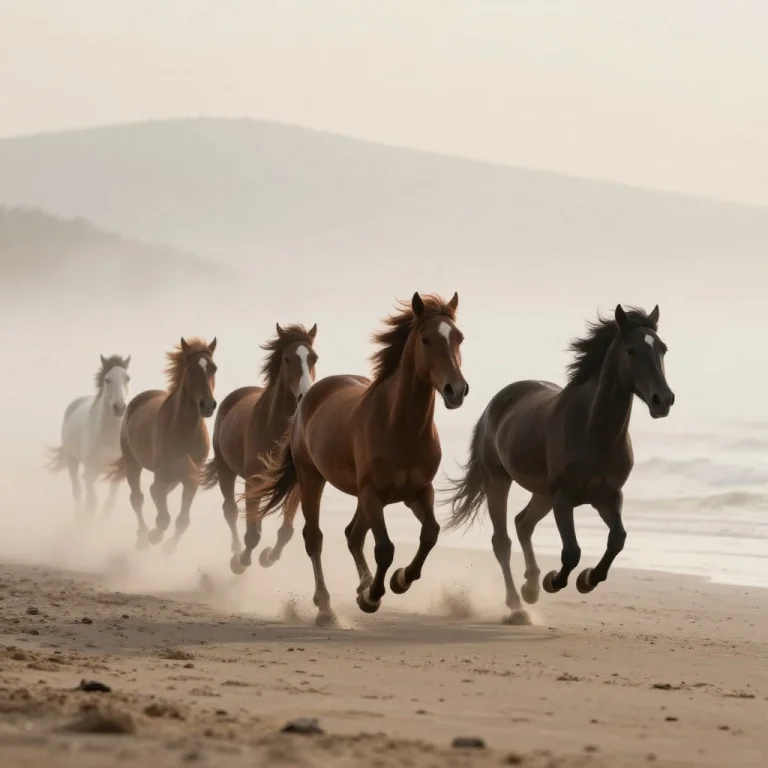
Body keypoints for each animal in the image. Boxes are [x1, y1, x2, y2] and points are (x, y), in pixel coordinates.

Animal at [47, 355, 131, 518]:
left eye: (127, 378)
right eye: (107, 380)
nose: (119, 407)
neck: (108, 439)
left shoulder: (116, 474)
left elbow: (109, 502)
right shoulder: (90, 472)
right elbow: (91, 503)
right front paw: (85, 523)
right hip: (72, 461)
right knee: (77, 492)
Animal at [107, 337, 217, 552]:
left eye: (214, 368)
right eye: (190, 369)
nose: (208, 405)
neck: (184, 430)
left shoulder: (189, 478)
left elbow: (182, 520)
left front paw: (169, 549)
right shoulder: (164, 472)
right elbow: (163, 516)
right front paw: (154, 536)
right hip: (133, 464)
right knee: (138, 498)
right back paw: (143, 537)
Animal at [200, 323, 318, 574]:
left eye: (314, 357)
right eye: (287, 359)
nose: (304, 395)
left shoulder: (294, 485)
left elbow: (286, 531)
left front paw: (268, 557)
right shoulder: (253, 482)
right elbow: (252, 533)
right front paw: (240, 563)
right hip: (226, 470)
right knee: (231, 510)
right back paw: (235, 552)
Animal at [244, 292, 468, 626]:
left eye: (459, 338)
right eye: (426, 339)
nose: (457, 390)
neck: (398, 426)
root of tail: (308, 396)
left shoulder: (418, 492)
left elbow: (430, 534)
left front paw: (399, 580)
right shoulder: (372, 493)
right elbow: (385, 548)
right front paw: (372, 597)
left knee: (353, 535)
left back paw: (362, 584)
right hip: (312, 479)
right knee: (315, 538)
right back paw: (326, 607)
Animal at [444, 304, 674, 625]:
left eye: (662, 348)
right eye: (631, 350)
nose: (663, 400)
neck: (594, 432)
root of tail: (495, 403)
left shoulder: (608, 496)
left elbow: (617, 539)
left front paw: (587, 579)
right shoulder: (564, 497)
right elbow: (572, 551)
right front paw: (554, 580)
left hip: (542, 493)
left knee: (523, 523)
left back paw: (529, 589)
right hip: (498, 482)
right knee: (502, 541)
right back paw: (518, 606)